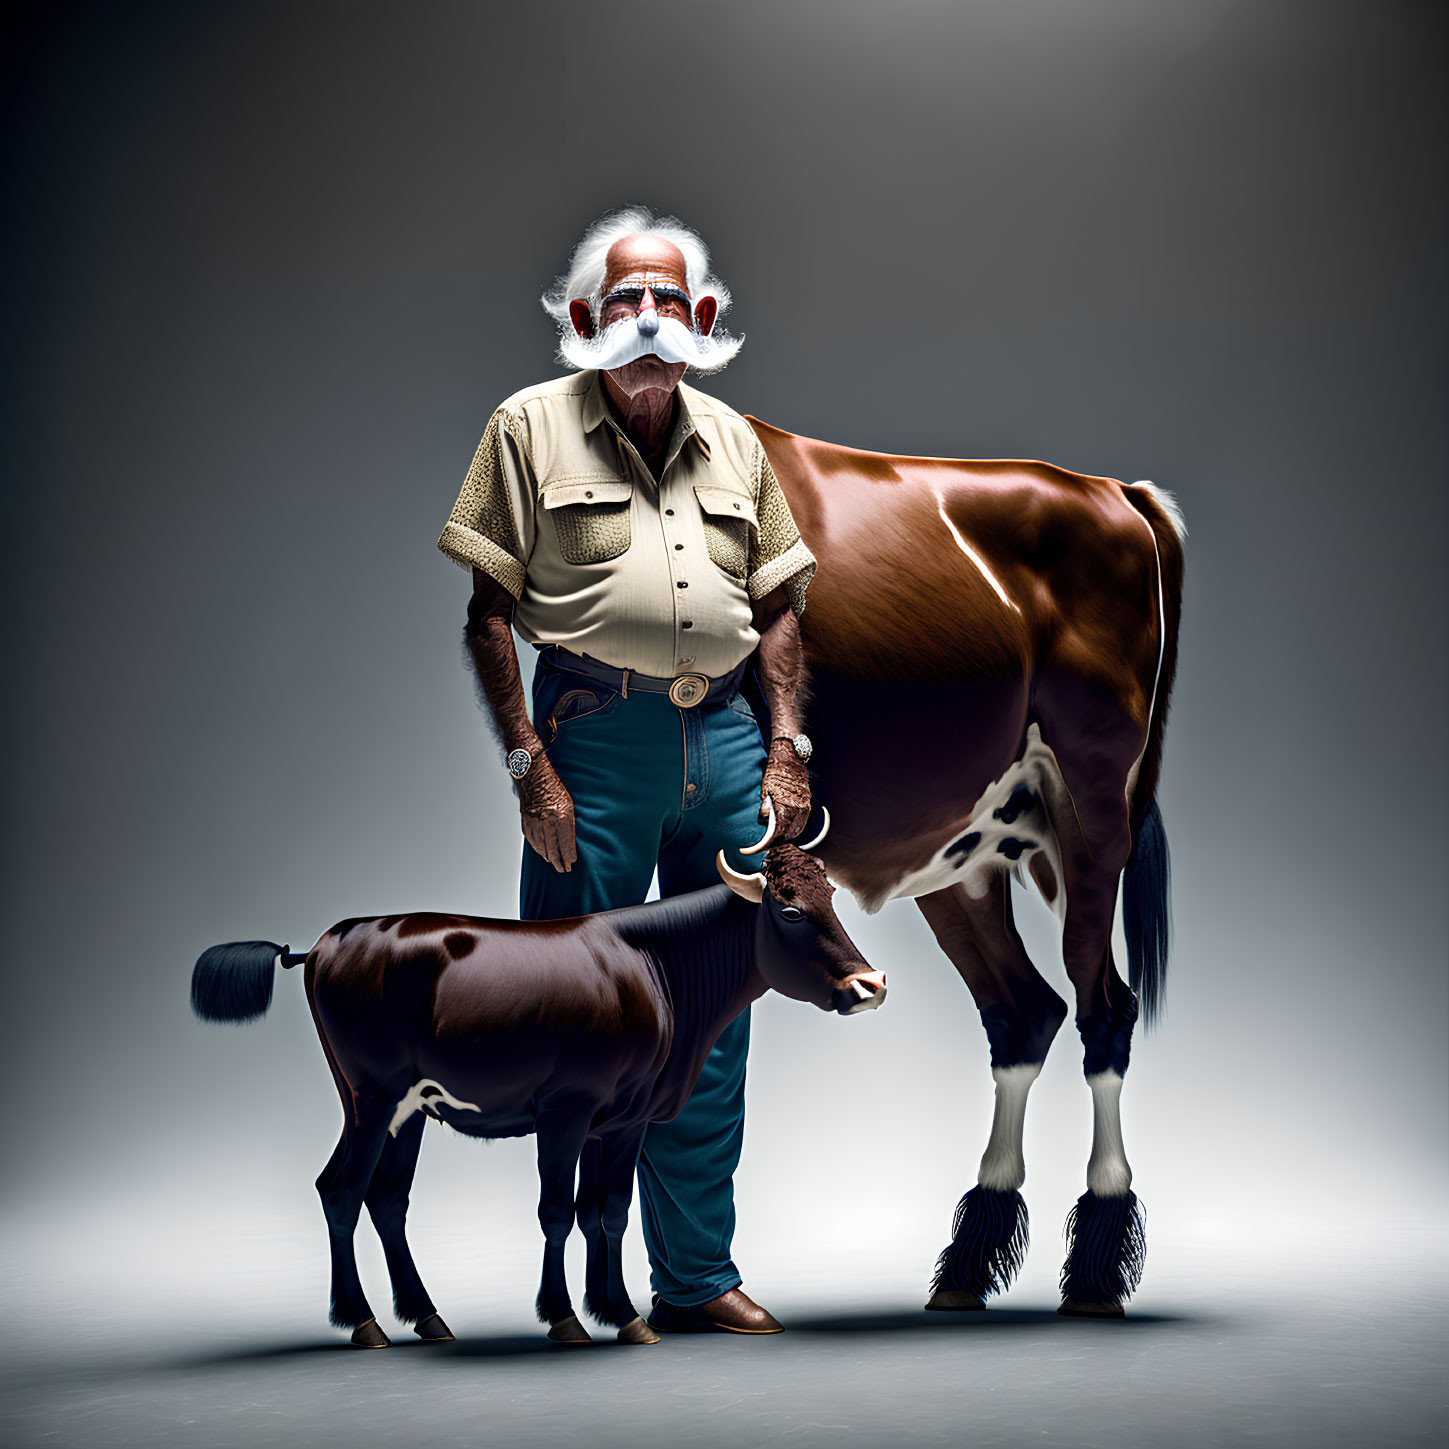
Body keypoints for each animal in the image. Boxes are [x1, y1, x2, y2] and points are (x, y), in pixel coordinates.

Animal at [741, 417, 1182, 1315]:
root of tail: (1116, 491)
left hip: (1091, 803)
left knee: (1102, 1005)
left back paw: (1095, 1265)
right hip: (968, 849)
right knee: (1023, 1009)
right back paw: (969, 1258)